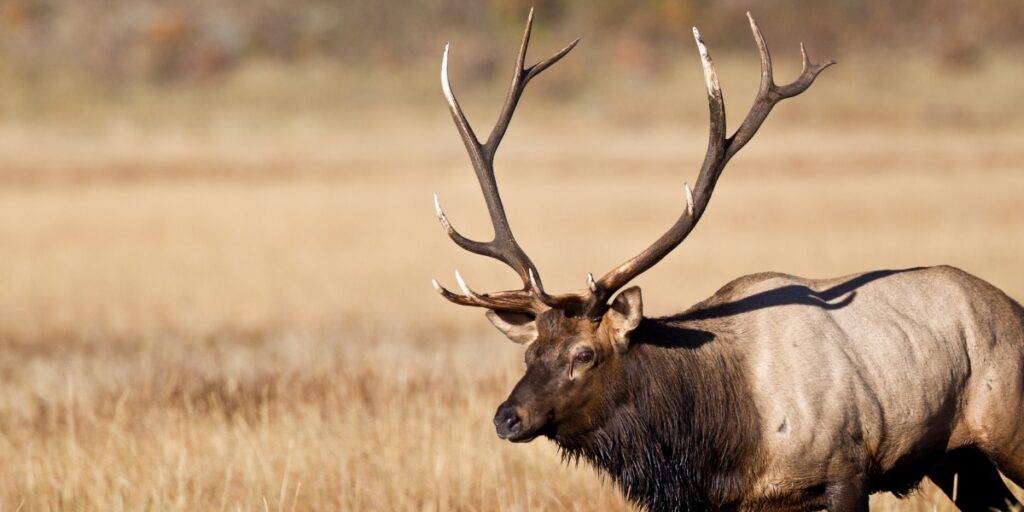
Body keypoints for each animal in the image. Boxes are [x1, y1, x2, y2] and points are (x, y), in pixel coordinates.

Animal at [430, 10, 1024, 512]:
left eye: (585, 355)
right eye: (529, 355)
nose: (507, 418)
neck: (720, 442)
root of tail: (1014, 307)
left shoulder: (847, 470)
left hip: (1007, 427)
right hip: (960, 461)